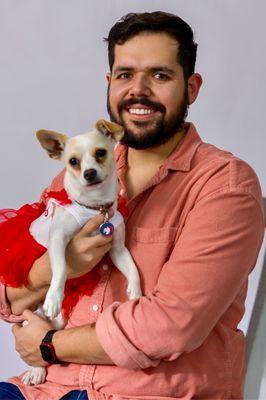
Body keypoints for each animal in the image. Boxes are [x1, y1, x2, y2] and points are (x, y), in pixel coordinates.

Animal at [21, 119, 141, 384]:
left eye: (101, 153)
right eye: (73, 162)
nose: (89, 173)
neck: (94, 209)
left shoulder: (117, 249)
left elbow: (132, 269)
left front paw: (135, 291)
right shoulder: (58, 240)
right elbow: (61, 269)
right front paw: (54, 297)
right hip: (38, 315)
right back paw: (36, 370)